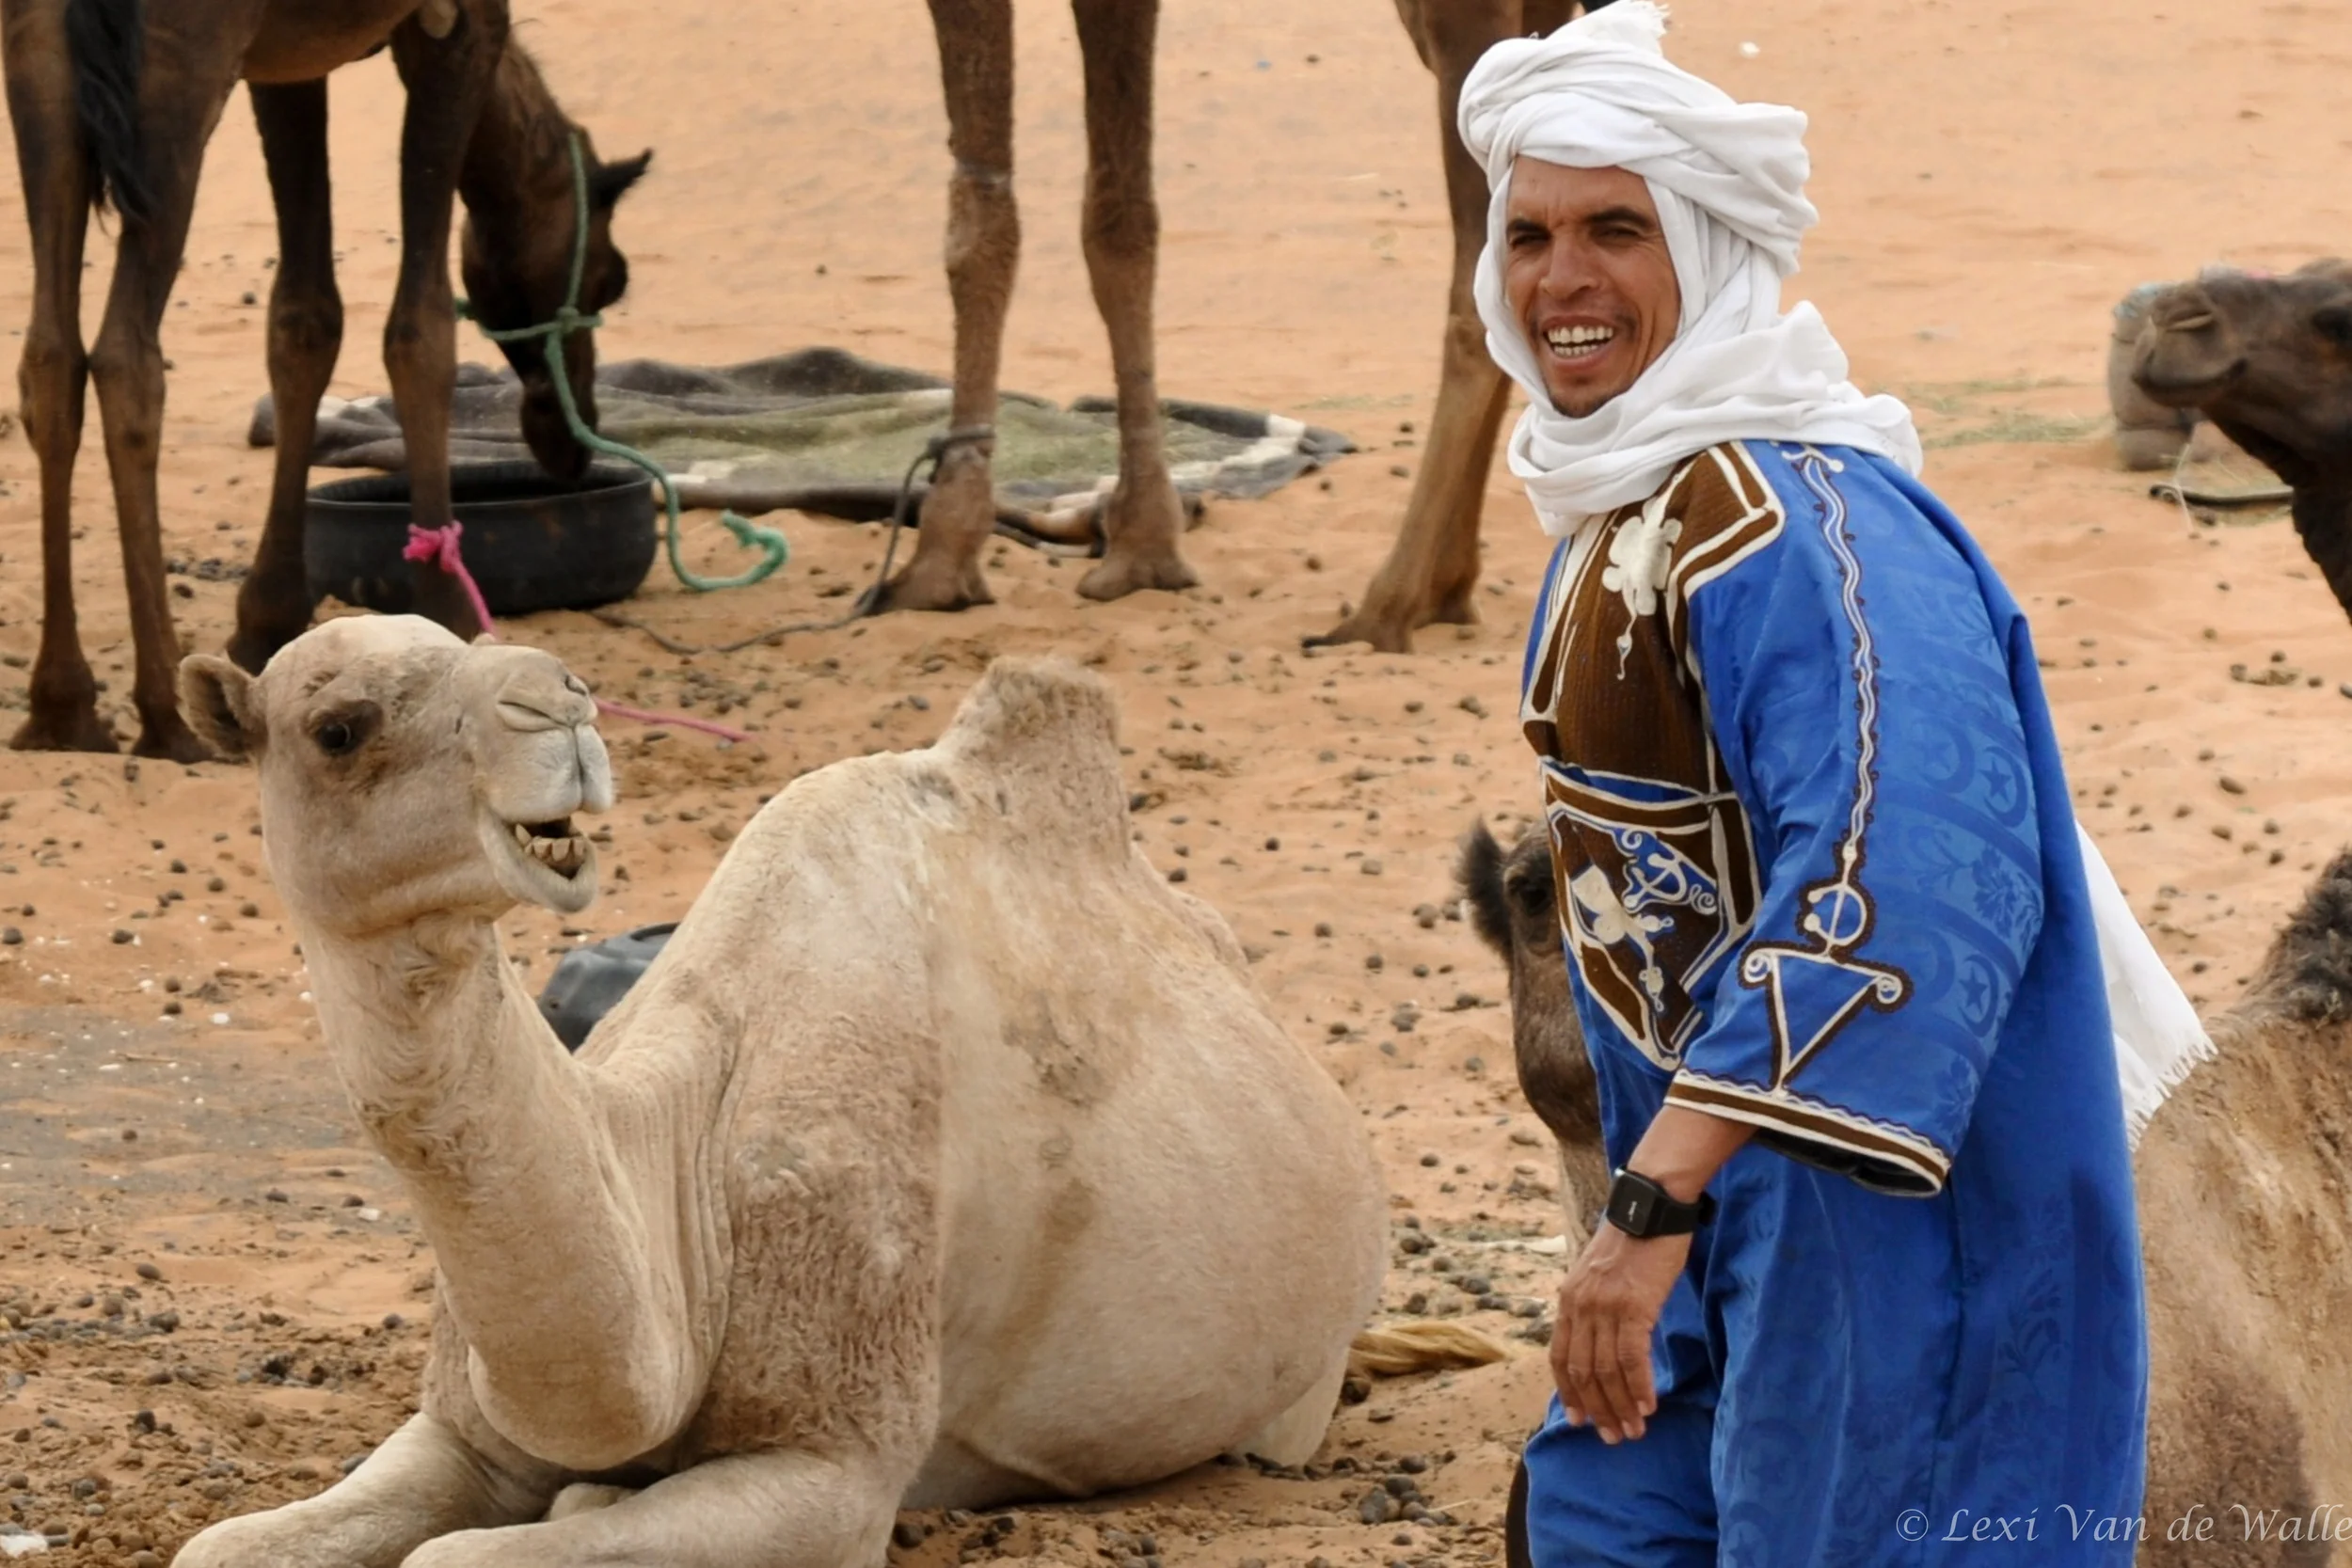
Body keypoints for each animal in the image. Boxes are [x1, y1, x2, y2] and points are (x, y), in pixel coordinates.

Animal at [4, 0, 645, 759]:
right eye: (609, 278)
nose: (571, 439)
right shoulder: (454, 26)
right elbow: (422, 326)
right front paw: (449, 610)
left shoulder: (285, 66)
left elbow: (303, 321)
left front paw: (269, 618)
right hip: (178, 61)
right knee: (125, 356)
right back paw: (165, 713)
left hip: (41, 63)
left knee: (50, 355)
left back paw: (62, 708)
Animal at [167, 617, 1388, 1567]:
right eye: (340, 726)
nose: (559, 702)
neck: (679, 1177)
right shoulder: (464, 1427)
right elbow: (219, 1543)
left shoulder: (835, 1459)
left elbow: (457, 1553)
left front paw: (580, 1498)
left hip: (1302, 1380)